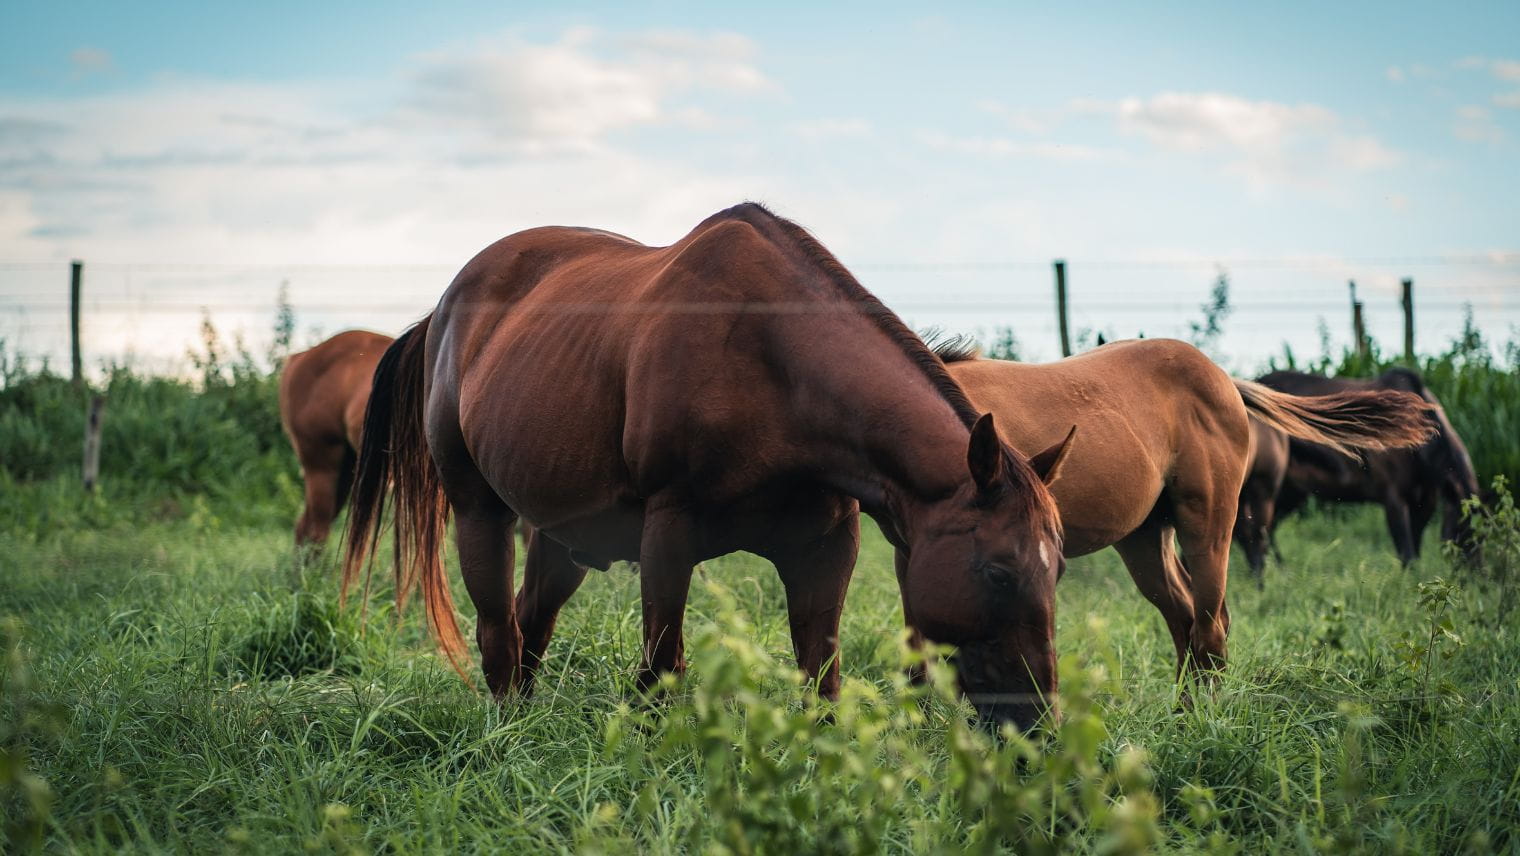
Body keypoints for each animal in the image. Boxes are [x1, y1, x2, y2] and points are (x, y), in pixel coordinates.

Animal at [344, 203, 1073, 730]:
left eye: (1057, 568)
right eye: (998, 571)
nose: (1037, 721)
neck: (774, 366)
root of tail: (443, 311)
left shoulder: (825, 546)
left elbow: (820, 674)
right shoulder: (669, 532)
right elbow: (661, 670)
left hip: (563, 534)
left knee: (531, 624)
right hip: (479, 512)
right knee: (498, 633)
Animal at [1255, 367, 1481, 566]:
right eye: (1466, 530)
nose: (1479, 576)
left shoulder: (1425, 502)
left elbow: (1415, 552)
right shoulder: (1393, 499)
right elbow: (1407, 554)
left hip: (1291, 492)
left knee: (1268, 529)